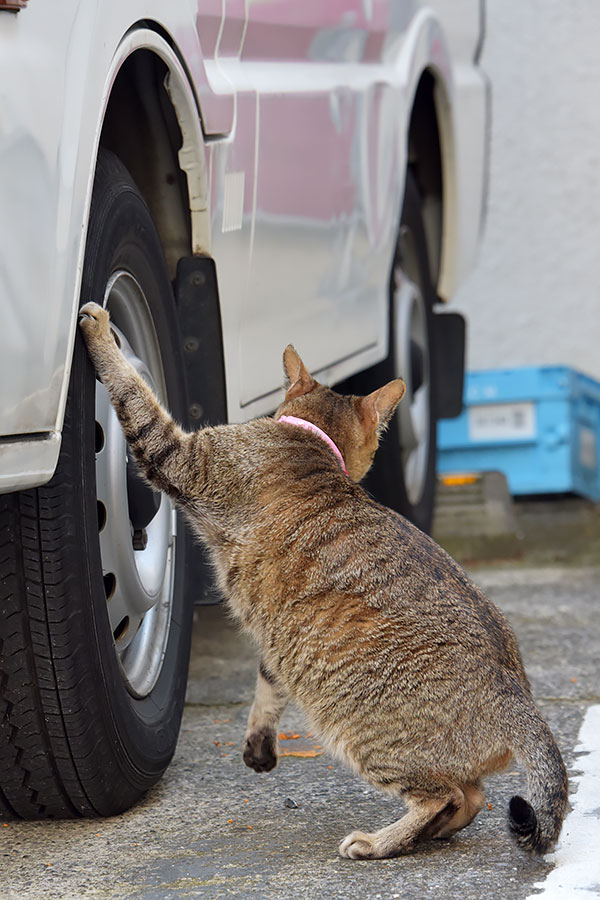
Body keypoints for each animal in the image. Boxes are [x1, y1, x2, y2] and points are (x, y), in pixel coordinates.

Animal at [79, 302, 568, 856]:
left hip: (362, 730)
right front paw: (259, 743)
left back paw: (380, 841)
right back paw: (427, 833)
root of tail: (519, 698)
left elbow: (134, 394)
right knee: (471, 797)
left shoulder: (182, 457)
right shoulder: (281, 640)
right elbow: (268, 685)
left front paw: (101, 333)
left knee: (445, 796)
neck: (309, 440)